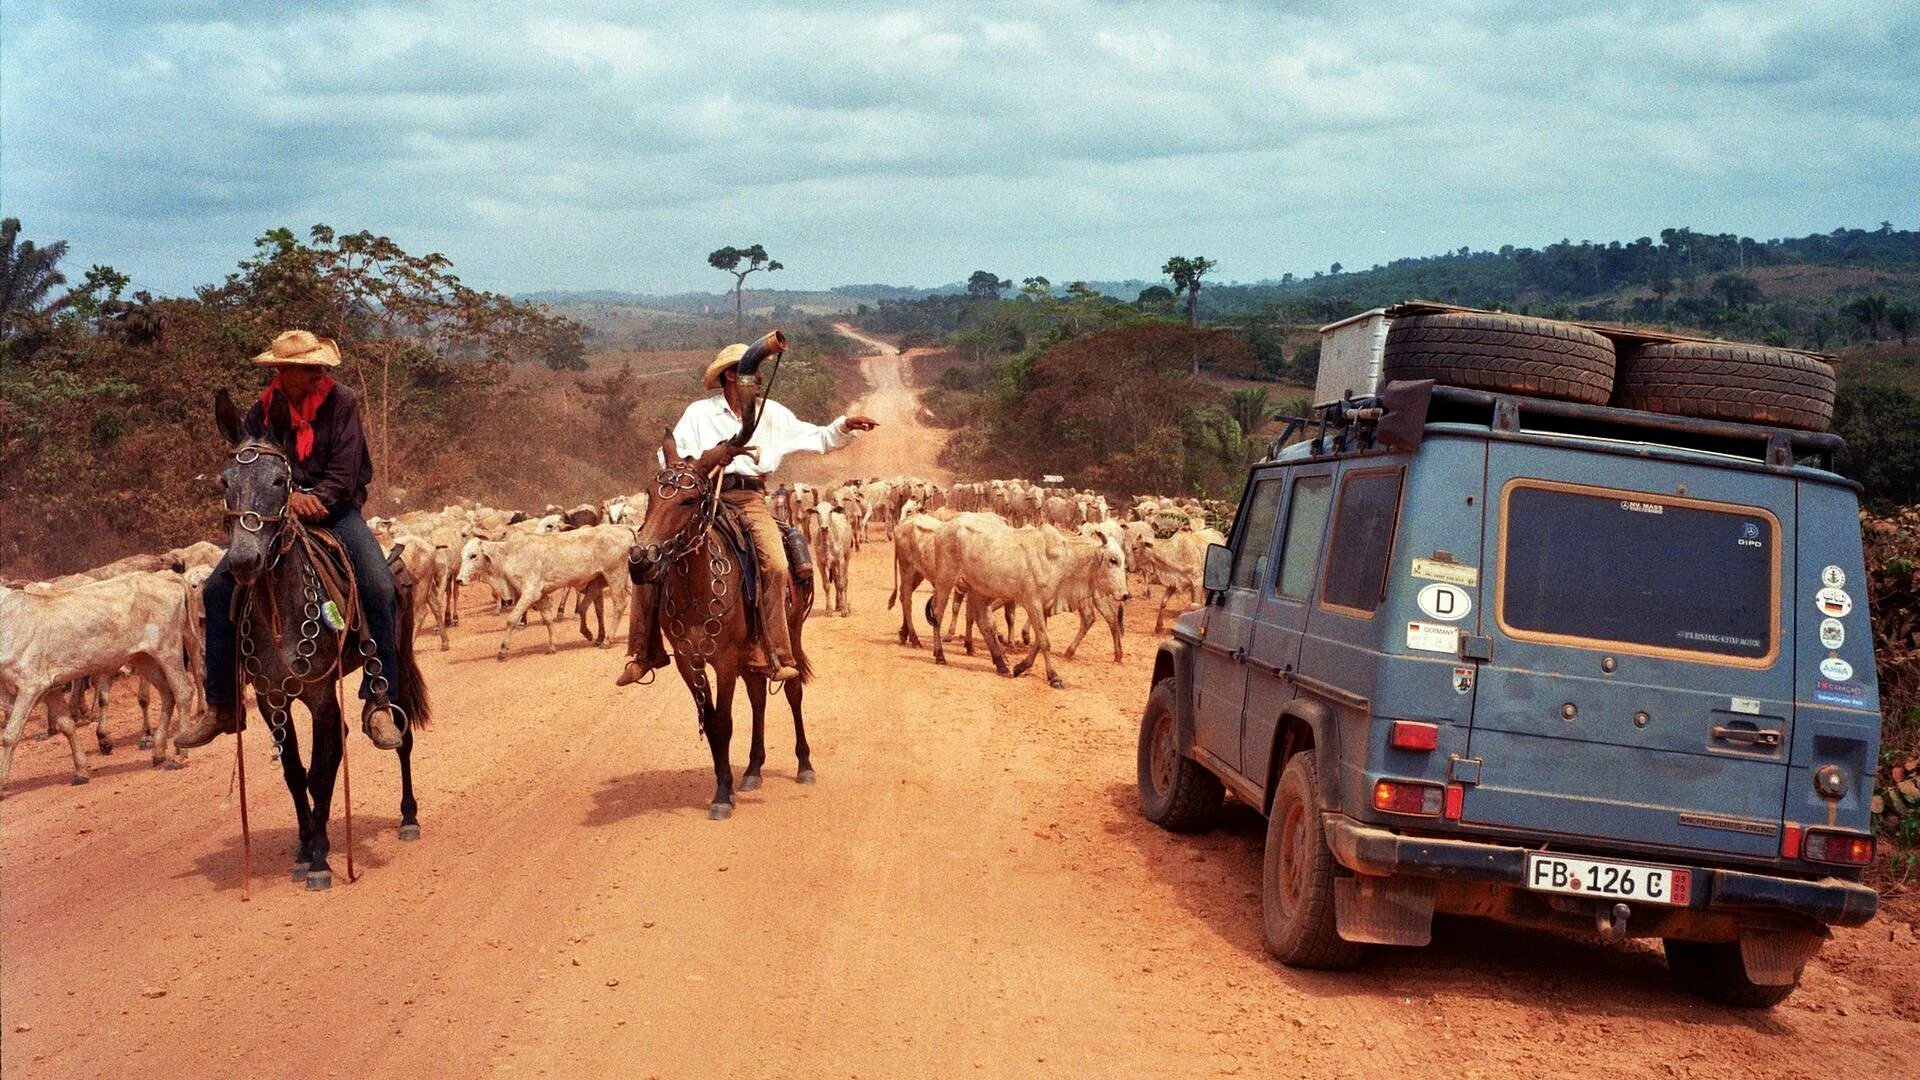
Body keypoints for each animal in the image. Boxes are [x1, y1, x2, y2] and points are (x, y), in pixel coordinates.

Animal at [629, 434, 810, 814]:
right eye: (650, 494)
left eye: (688, 500)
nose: (640, 561)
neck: (695, 590)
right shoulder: (688, 661)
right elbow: (711, 722)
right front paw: (723, 784)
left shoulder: (725, 660)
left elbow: (724, 722)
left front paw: (723, 798)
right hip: (753, 652)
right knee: (758, 696)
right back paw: (753, 769)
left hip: (790, 633)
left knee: (793, 688)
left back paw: (805, 764)